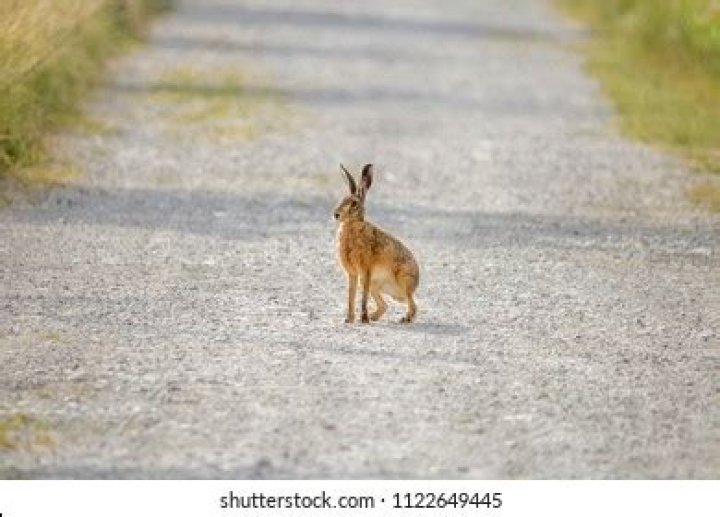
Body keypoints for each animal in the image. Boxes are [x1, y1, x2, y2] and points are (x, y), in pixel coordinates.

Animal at [334, 163, 420, 324]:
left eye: (354, 204)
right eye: (342, 200)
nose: (336, 214)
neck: (352, 226)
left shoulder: (365, 268)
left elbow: (362, 296)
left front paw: (363, 319)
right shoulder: (353, 273)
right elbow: (351, 295)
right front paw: (349, 319)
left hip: (403, 280)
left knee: (413, 304)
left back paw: (404, 319)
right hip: (375, 285)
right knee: (385, 305)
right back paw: (374, 317)